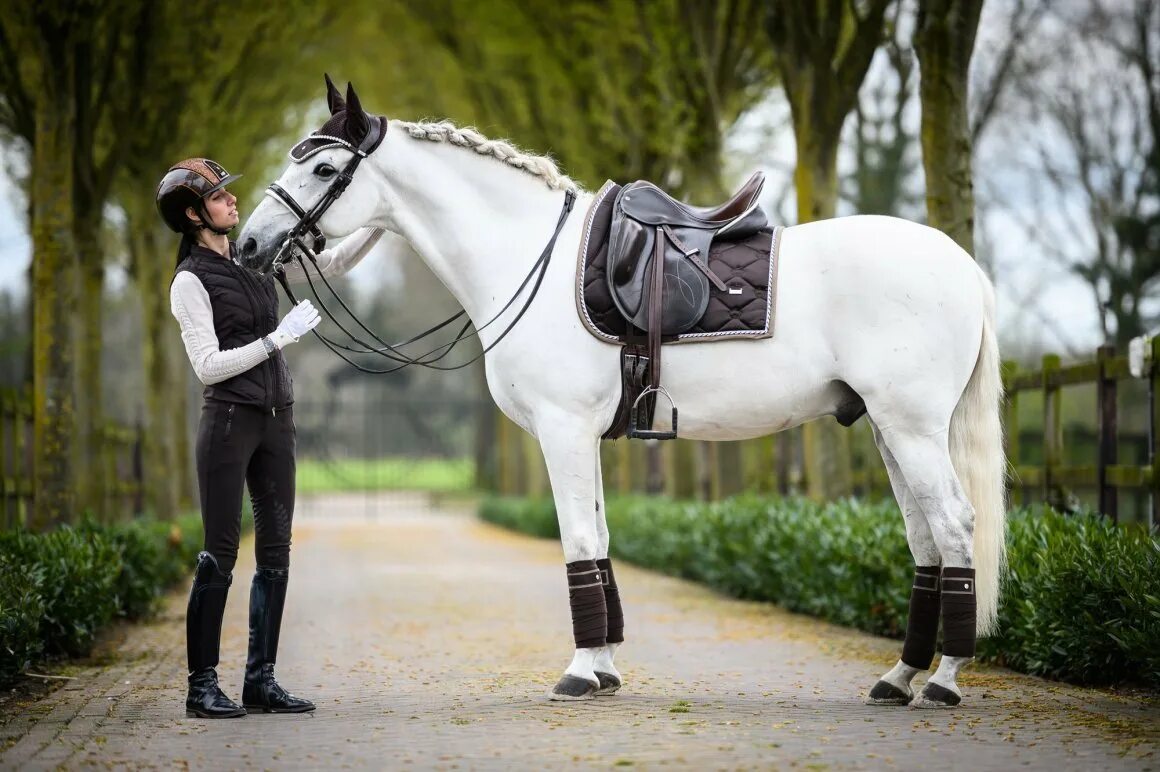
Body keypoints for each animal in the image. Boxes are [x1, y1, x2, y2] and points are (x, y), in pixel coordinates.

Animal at [242, 81, 1006, 704]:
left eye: (322, 167)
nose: (250, 244)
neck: (530, 258)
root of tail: (962, 265)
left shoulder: (564, 430)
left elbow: (579, 540)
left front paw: (581, 671)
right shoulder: (587, 436)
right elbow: (602, 540)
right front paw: (606, 666)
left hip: (911, 427)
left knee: (955, 526)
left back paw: (943, 680)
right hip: (886, 428)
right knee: (925, 539)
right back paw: (899, 676)